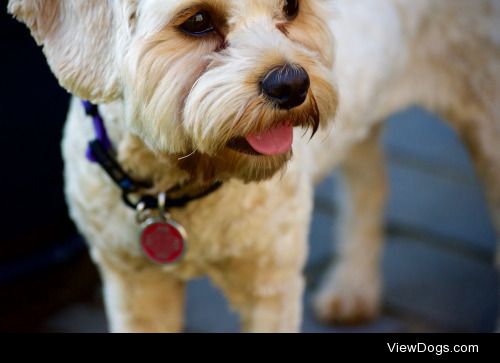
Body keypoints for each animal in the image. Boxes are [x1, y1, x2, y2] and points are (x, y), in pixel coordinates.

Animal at [8, 0, 500, 334]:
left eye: (291, 5)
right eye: (197, 21)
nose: (292, 84)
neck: (181, 182)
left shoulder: (272, 285)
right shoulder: (133, 286)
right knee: (370, 183)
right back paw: (353, 287)